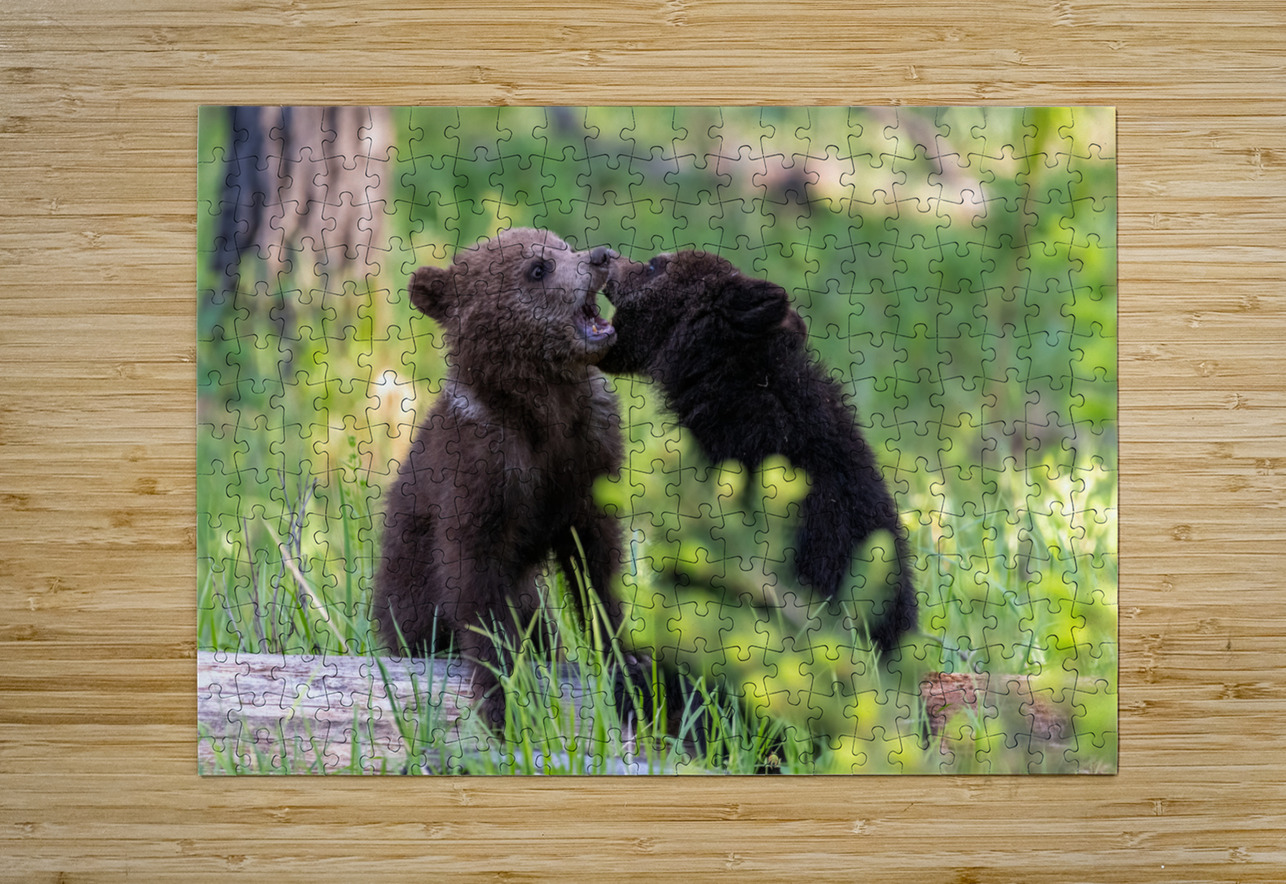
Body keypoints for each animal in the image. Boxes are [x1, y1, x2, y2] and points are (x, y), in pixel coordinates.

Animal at [372, 228, 626, 728]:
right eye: (538, 267)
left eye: (564, 244)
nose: (601, 257)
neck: (545, 405)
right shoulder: (481, 468)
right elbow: (473, 581)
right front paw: (501, 698)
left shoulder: (588, 457)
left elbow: (597, 567)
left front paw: (628, 660)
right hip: (407, 591)